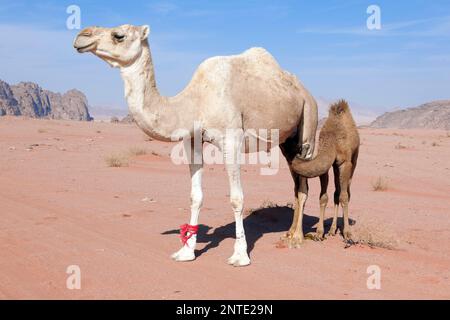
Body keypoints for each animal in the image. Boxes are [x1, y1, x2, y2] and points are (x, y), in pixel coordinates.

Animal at [74, 24, 318, 264]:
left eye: (119, 35)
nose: (81, 36)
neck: (196, 101)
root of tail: (305, 90)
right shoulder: (192, 142)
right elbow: (195, 196)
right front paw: (186, 251)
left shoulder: (231, 140)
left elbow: (236, 199)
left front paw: (240, 255)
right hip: (286, 141)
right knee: (296, 182)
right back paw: (289, 232)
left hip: (307, 125)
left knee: (303, 185)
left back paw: (297, 237)